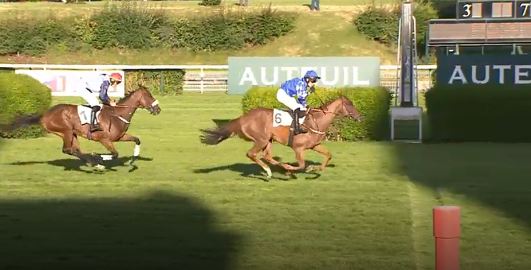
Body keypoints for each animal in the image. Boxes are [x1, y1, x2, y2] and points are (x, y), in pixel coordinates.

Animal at [5, 86, 161, 170]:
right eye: (149, 95)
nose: (158, 109)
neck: (117, 114)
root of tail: (45, 115)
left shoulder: (120, 137)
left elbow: (137, 140)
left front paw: (133, 160)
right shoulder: (103, 139)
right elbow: (115, 154)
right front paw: (99, 157)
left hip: (71, 133)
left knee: (75, 150)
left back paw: (92, 163)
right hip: (66, 130)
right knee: (68, 150)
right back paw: (93, 161)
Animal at [202, 96, 364, 178]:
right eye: (350, 104)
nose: (360, 117)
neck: (316, 121)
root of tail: (242, 118)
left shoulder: (314, 145)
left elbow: (328, 155)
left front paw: (314, 168)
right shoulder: (298, 148)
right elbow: (301, 165)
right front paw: (293, 169)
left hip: (268, 140)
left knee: (266, 156)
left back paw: (276, 169)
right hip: (261, 139)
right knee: (251, 154)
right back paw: (271, 171)